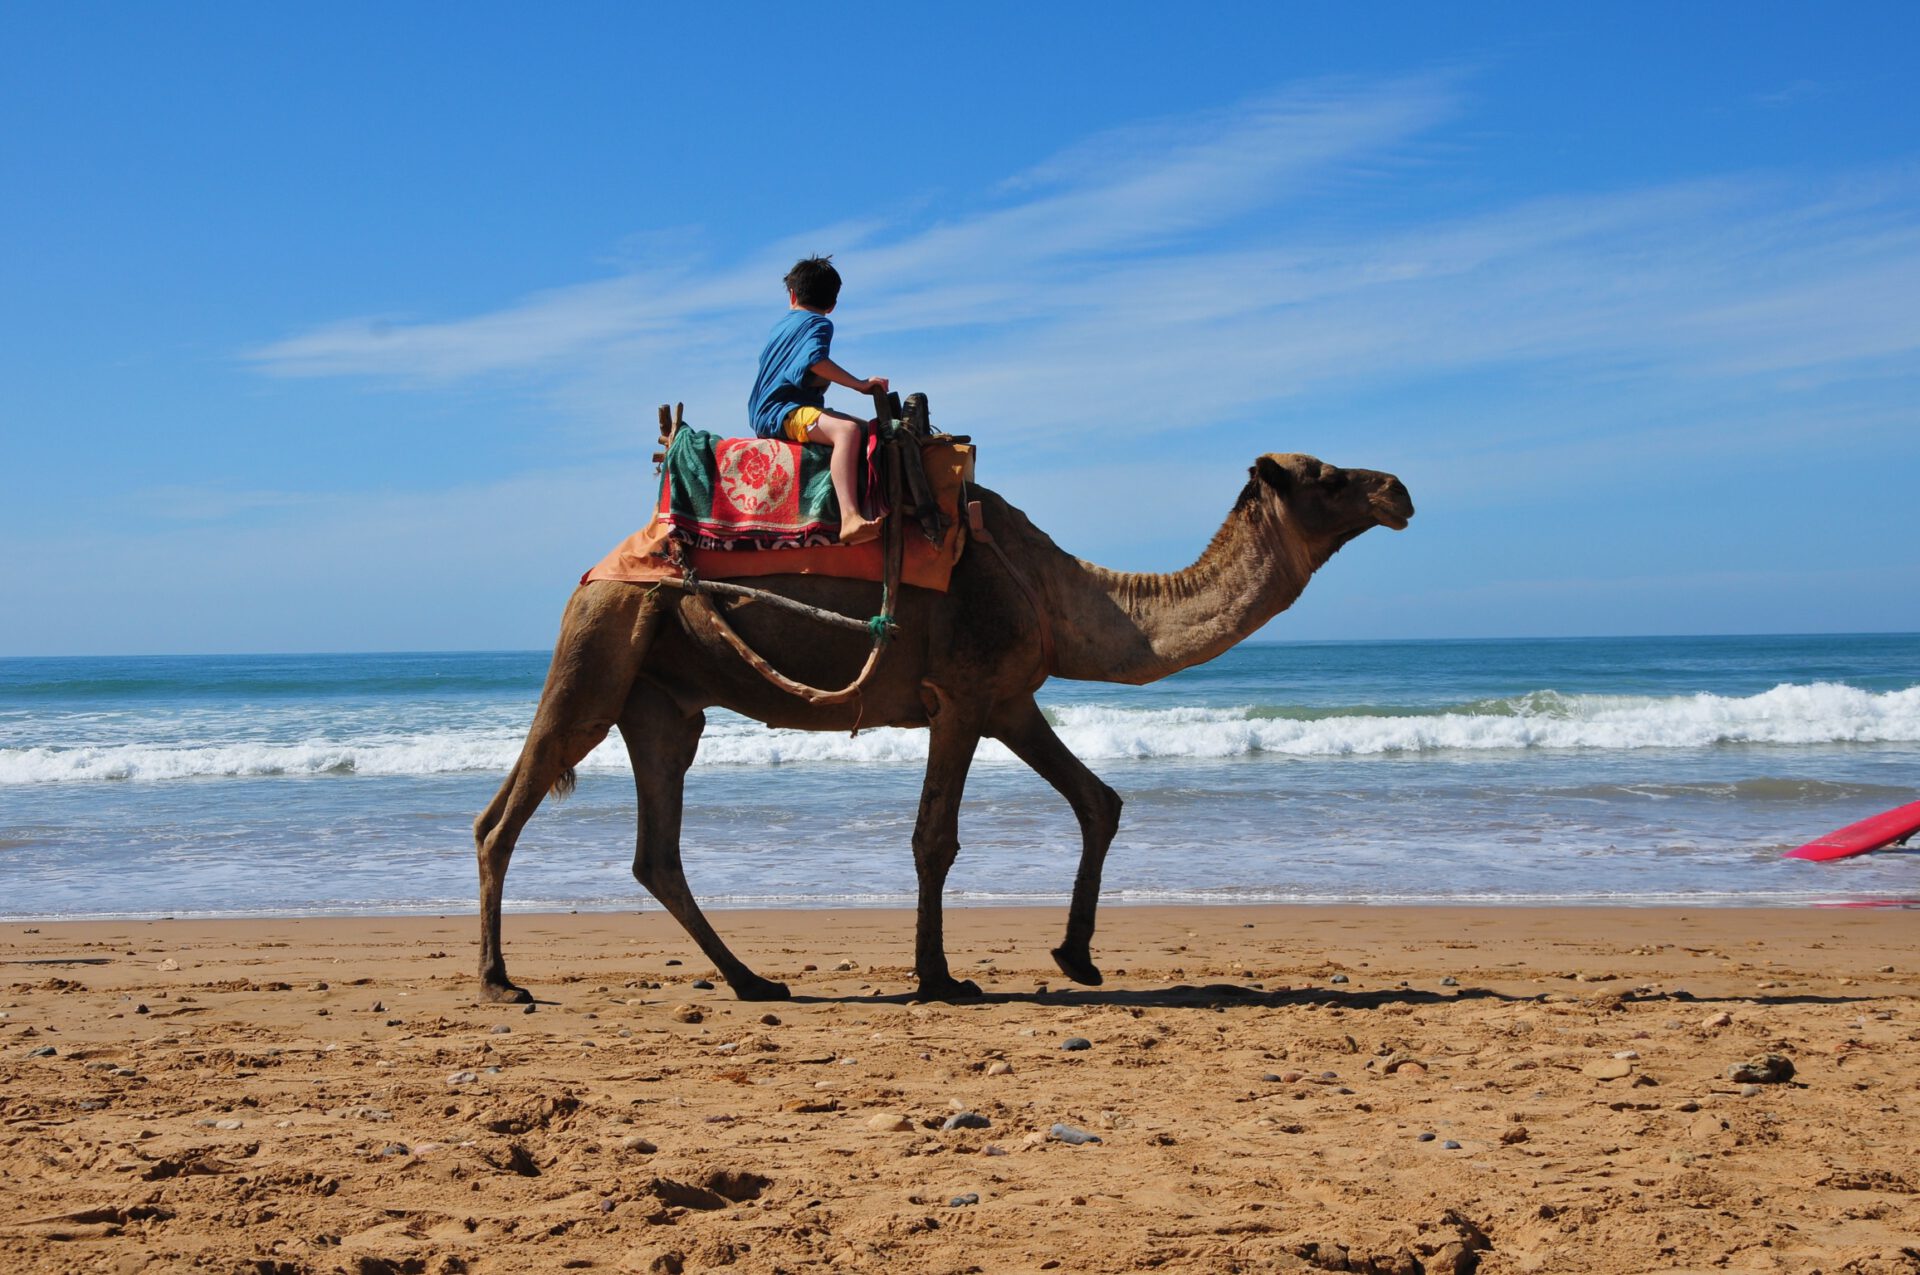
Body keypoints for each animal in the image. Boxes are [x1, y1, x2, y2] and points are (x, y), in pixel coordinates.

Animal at [476, 453, 1413, 998]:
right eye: (1328, 475)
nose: (1398, 488)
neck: (1060, 593)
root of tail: (595, 572)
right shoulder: (961, 694)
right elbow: (936, 837)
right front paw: (938, 976)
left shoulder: (1008, 699)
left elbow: (1099, 801)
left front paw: (1076, 956)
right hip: (598, 653)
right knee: (503, 816)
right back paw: (498, 981)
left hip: (663, 703)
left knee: (656, 850)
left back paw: (753, 980)